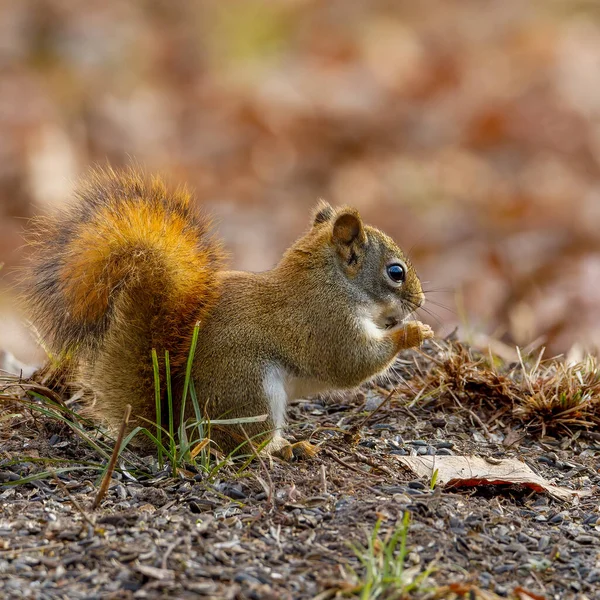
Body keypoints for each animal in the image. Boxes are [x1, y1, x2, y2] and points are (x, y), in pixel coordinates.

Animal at [23, 169, 434, 460]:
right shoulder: (326, 322)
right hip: (251, 392)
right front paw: (412, 332)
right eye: (395, 272)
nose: (419, 300)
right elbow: (353, 363)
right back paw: (284, 450)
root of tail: (174, 428)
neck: (332, 282)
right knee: (240, 446)